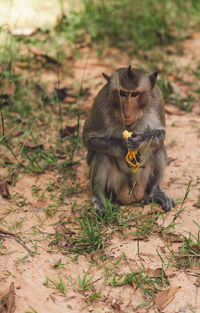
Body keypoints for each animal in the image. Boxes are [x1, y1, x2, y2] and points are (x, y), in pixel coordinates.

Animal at [82, 64, 175, 213]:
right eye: (122, 93)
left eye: (135, 94)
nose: (126, 113)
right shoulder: (101, 105)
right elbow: (89, 139)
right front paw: (122, 146)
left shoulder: (157, 100)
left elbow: (160, 135)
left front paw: (140, 140)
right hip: (116, 184)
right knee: (102, 154)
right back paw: (99, 197)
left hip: (142, 179)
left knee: (158, 148)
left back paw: (156, 191)